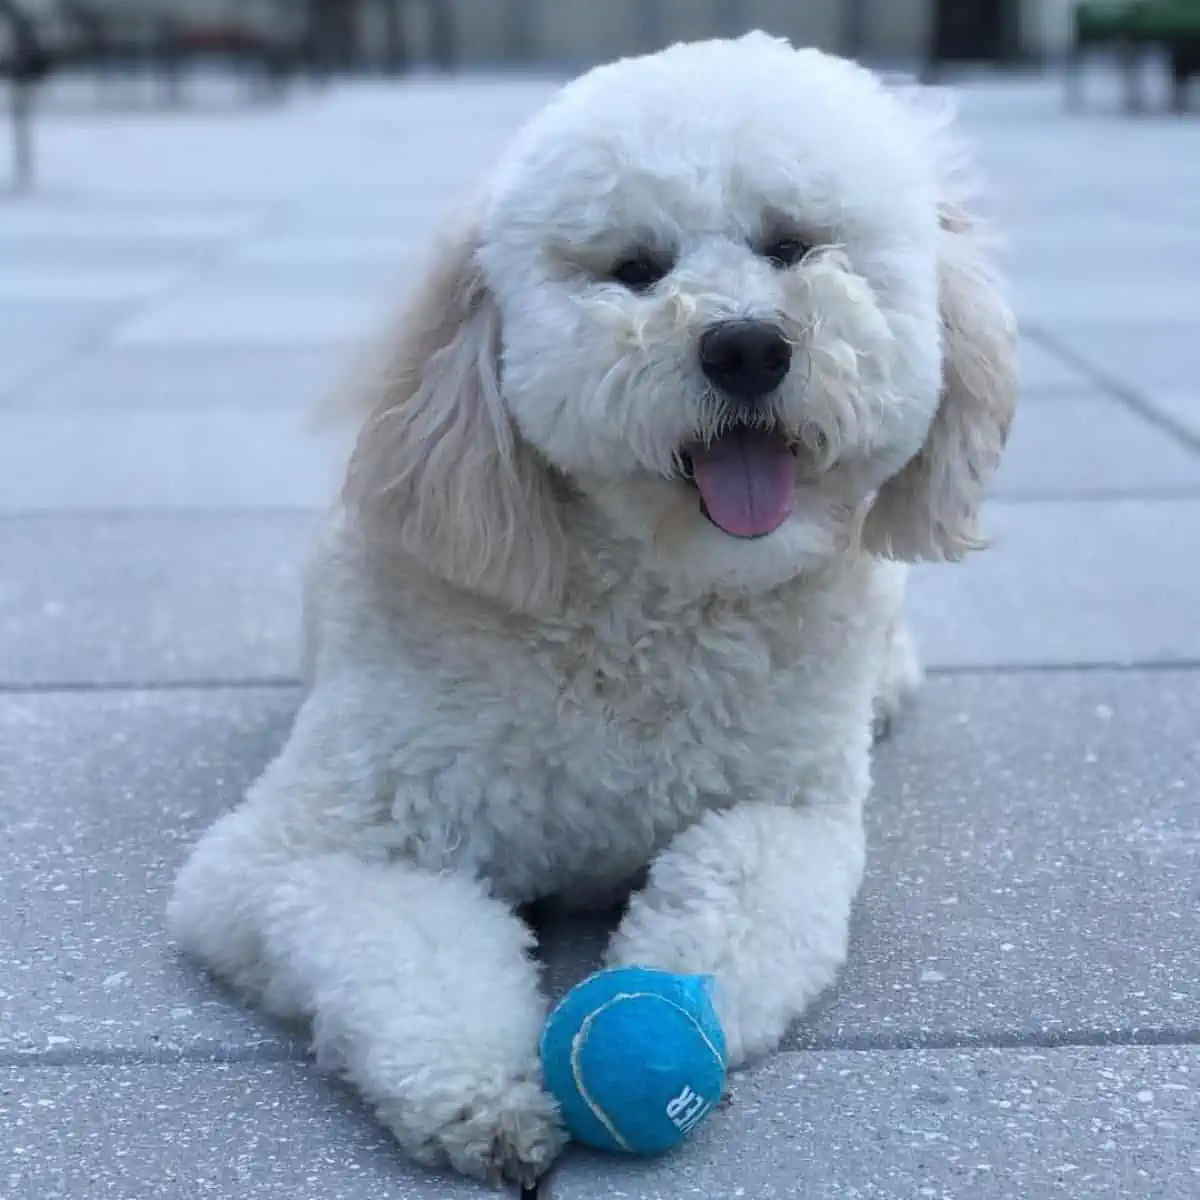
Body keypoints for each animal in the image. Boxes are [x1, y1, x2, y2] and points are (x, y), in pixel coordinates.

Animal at [169, 35, 1012, 1190]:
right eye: (637, 267)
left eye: (793, 244)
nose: (747, 347)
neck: (648, 609)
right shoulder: (297, 852)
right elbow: (408, 944)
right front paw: (483, 1093)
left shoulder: (794, 810)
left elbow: (740, 892)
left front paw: (668, 1006)